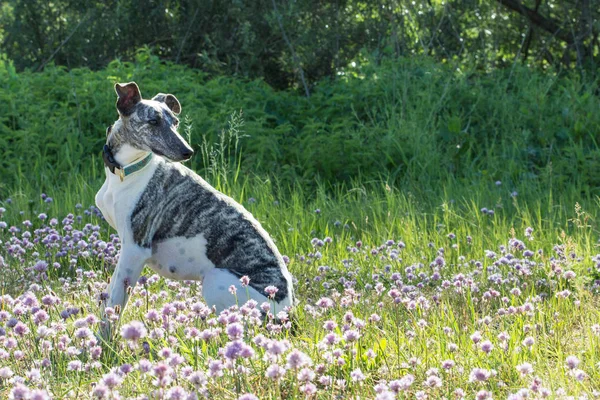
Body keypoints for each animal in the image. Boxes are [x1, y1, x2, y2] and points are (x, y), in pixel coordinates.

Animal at [94, 82, 296, 328]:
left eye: (175, 122)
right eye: (153, 122)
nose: (188, 152)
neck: (127, 171)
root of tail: (287, 312)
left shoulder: (135, 249)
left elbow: (114, 304)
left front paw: (104, 336)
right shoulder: (127, 249)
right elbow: (108, 297)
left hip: (215, 282)